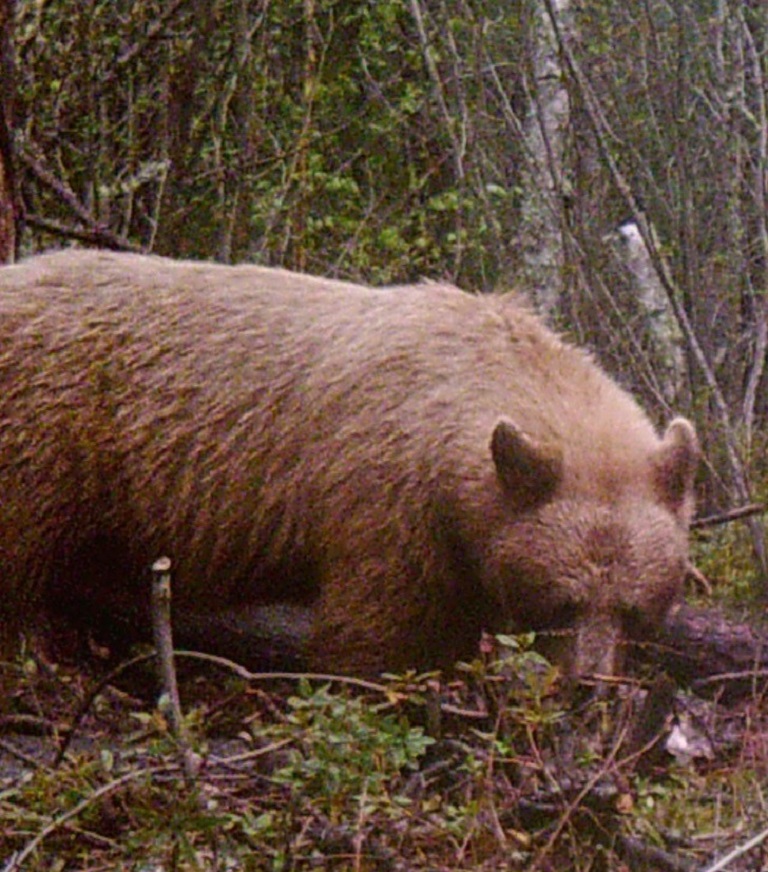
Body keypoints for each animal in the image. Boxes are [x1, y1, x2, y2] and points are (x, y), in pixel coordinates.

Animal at [0, 249, 700, 676]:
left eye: (635, 610)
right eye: (562, 601)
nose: (592, 682)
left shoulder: (464, 543)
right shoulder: (387, 497)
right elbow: (374, 629)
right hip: (42, 434)